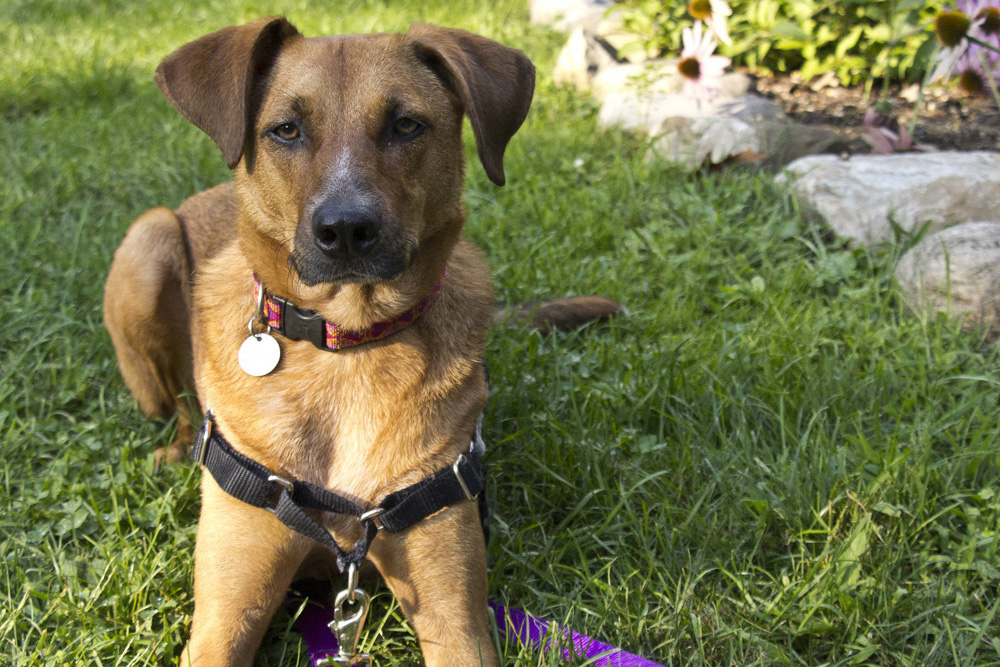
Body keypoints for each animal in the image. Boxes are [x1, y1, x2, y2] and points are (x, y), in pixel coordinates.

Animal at [103, 17, 616, 667]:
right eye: (286, 129)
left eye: (407, 125)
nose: (345, 229)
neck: (346, 346)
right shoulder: (225, 614)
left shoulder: (454, 614)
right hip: (146, 242)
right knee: (176, 407)